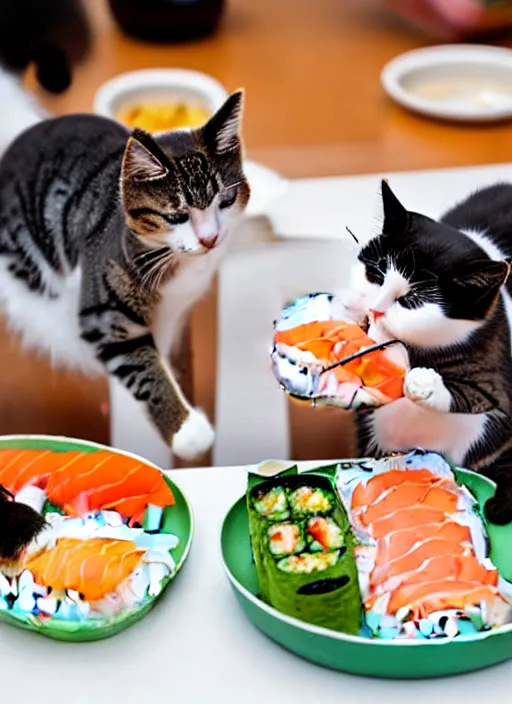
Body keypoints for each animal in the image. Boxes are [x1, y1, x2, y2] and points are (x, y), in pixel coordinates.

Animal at [0, 73, 250, 462]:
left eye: (225, 201)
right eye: (176, 217)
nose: (209, 238)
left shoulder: (177, 306)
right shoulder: (103, 312)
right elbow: (142, 364)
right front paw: (186, 430)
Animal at [338, 179, 512, 524]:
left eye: (413, 300)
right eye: (376, 274)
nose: (375, 309)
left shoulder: (498, 383)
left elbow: (480, 394)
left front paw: (426, 385)